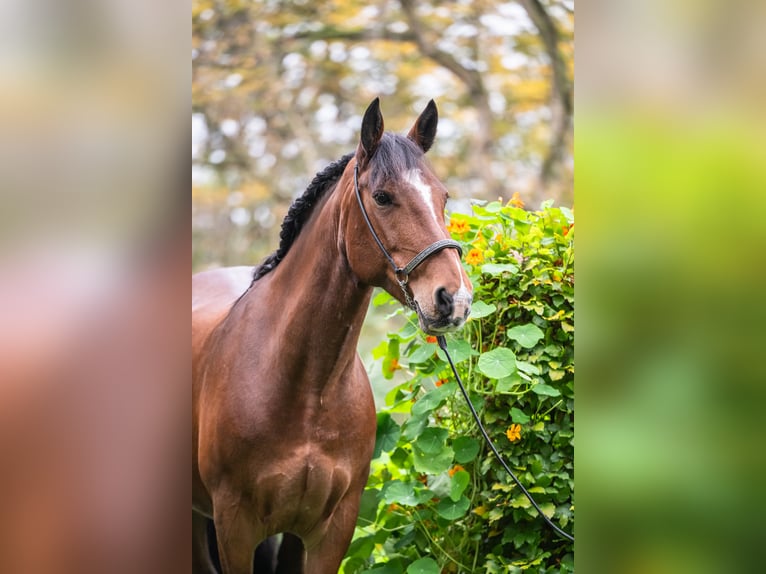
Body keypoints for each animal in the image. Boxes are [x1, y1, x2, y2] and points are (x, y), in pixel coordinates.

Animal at [192, 99, 474, 574]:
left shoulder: (329, 530)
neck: (309, 390)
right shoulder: (236, 527)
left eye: (443, 197)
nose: (454, 299)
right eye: (382, 197)